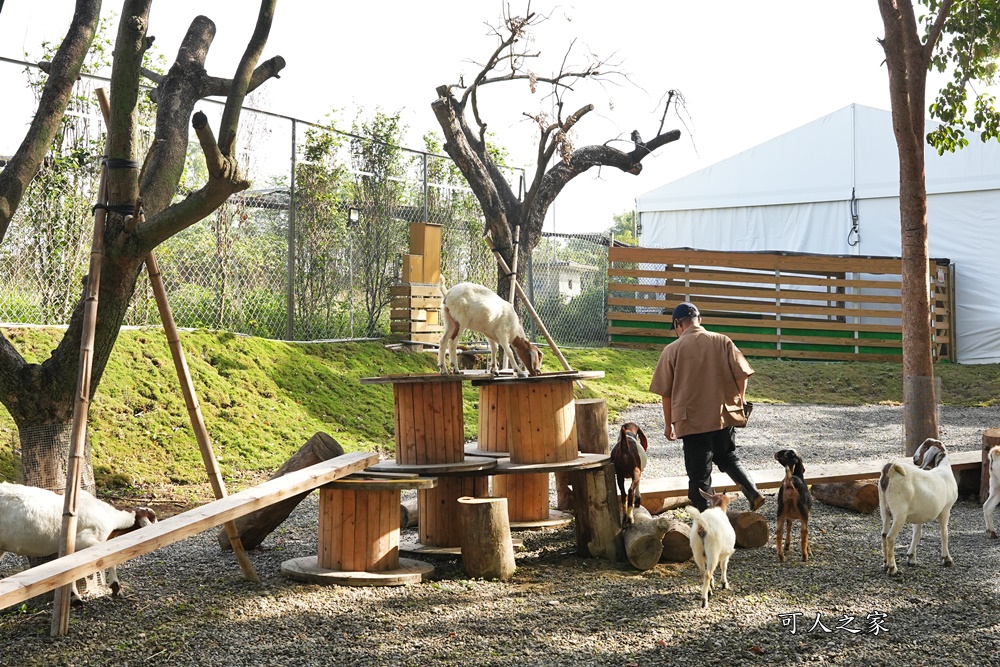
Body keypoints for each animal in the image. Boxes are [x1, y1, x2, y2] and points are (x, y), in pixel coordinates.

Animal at [880, 438, 956, 576]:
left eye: (925, 447)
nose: (915, 459)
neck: (943, 468)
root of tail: (891, 470)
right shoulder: (946, 509)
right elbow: (944, 533)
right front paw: (947, 559)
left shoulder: (918, 515)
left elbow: (917, 534)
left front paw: (911, 558)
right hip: (899, 513)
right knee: (890, 537)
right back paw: (893, 568)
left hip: (884, 509)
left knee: (883, 534)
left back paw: (885, 564)